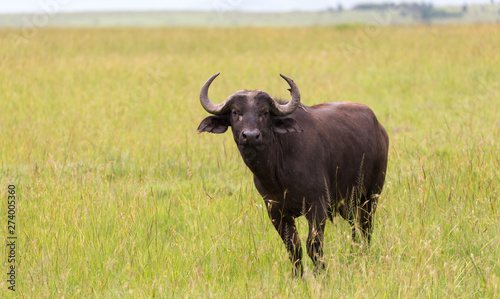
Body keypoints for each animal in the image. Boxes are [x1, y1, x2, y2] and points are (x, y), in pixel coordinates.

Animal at [197, 73, 388, 276]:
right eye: (235, 112)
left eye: (265, 112)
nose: (250, 136)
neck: (277, 174)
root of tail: (380, 129)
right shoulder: (275, 211)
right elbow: (293, 247)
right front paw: (298, 276)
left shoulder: (317, 205)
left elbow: (313, 244)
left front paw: (322, 274)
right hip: (348, 203)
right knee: (354, 227)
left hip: (371, 196)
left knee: (366, 227)